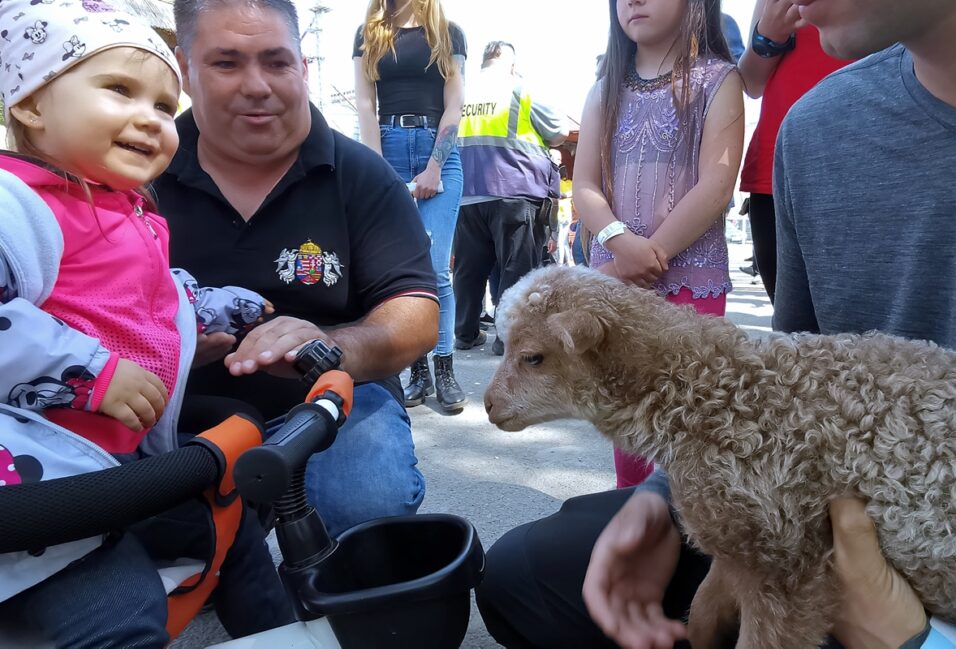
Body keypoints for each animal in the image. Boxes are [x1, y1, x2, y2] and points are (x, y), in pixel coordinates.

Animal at [484, 264, 956, 649]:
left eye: (533, 357)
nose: (488, 405)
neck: (710, 391)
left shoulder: (786, 559)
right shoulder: (734, 541)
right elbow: (703, 611)